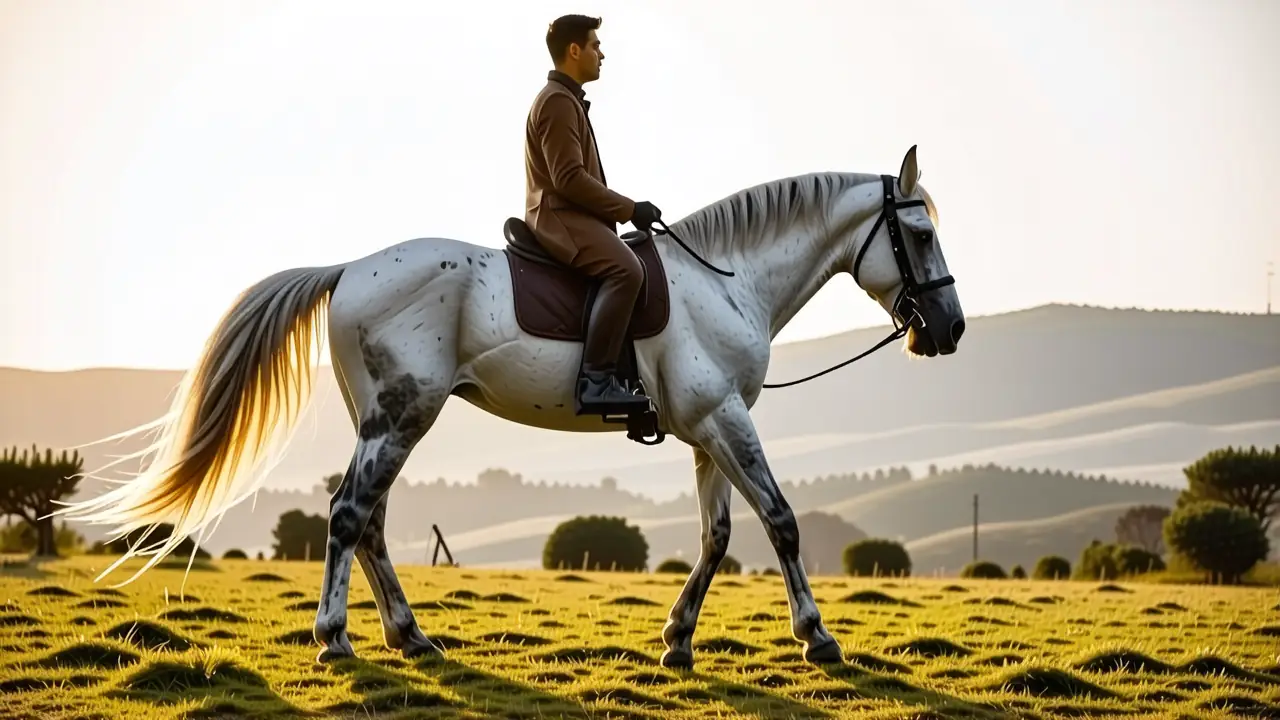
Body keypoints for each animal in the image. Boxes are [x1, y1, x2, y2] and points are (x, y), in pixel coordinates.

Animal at [58, 145, 964, 670]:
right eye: (919, 236)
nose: (950, 329)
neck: (728, 280)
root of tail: (349, 269)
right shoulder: (726, 423)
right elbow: (780, 521)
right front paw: (818, 637)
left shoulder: (707, 430)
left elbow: (717, 536)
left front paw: (676, 640)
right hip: (403, 415)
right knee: (351, 514)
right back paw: (336, 638)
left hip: (386, 419)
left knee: (371, 520)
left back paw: (409, 635)